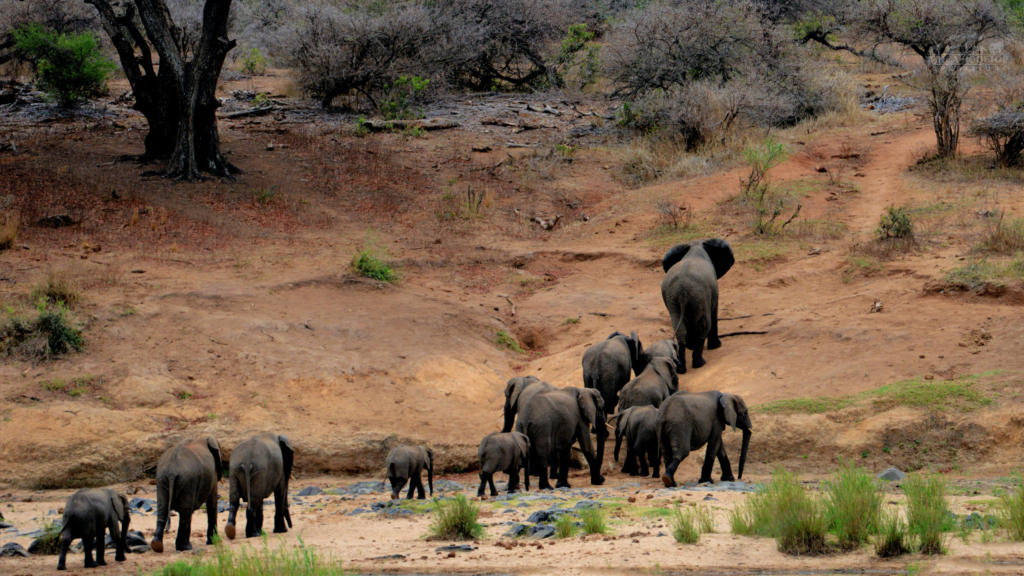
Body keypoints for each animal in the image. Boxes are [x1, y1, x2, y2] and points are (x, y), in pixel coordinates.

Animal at [659, 238, 733, 368]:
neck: (695, 245)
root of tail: (683, 291)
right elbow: (714, 313)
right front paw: (716, 346)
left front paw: (691, 346)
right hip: (699, 294)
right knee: (703, 325)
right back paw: (699, 363)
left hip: (674, 298)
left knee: (680, 328)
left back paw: (681, 367)